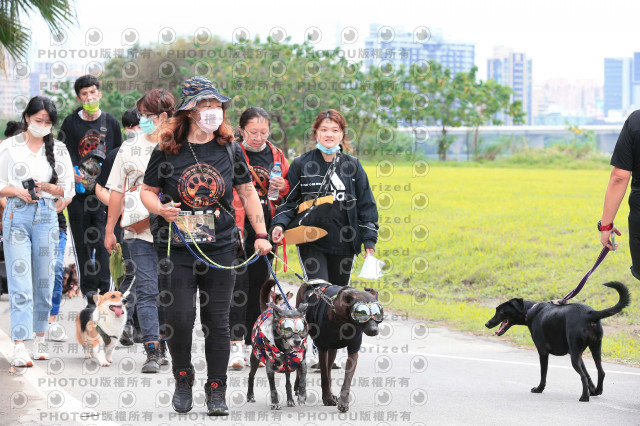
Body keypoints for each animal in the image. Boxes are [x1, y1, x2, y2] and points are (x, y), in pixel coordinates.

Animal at [247, 279, 308, 409]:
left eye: (301, 328)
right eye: (287, 328)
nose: (297, 341)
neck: (285, 350)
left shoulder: (302, 363)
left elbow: (302, 381)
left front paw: (301, 396)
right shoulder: (270, 368)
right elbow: (273, 387)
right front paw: (275, 403)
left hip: (287, 367)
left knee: (288, 382)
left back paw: (290, 400)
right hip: (255, 357)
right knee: (251, 376)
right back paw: (250, 396)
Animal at [296, 279, 382, 412]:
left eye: (377, 313)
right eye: (361, 313)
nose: (374, 330)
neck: (344, 321)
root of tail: (309, 282)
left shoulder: (353, 350)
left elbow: (346, 379)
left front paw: (343, 401)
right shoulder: (322, 347)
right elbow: (324, 377)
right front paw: (327, 398)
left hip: (332, 350)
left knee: (329, 369)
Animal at [485, 281, 630, 401]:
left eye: (500, 311)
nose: (487, 323)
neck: (530, 311)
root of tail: (590, 314)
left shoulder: (543, 352)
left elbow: (543, 374)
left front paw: (539, 389)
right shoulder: (576, 353)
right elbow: (588, 374)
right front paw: (593, 390)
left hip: (576, 355)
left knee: (582, 375)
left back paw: (584, 397)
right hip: (594, 348)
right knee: (600, 371)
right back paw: (597, 390)